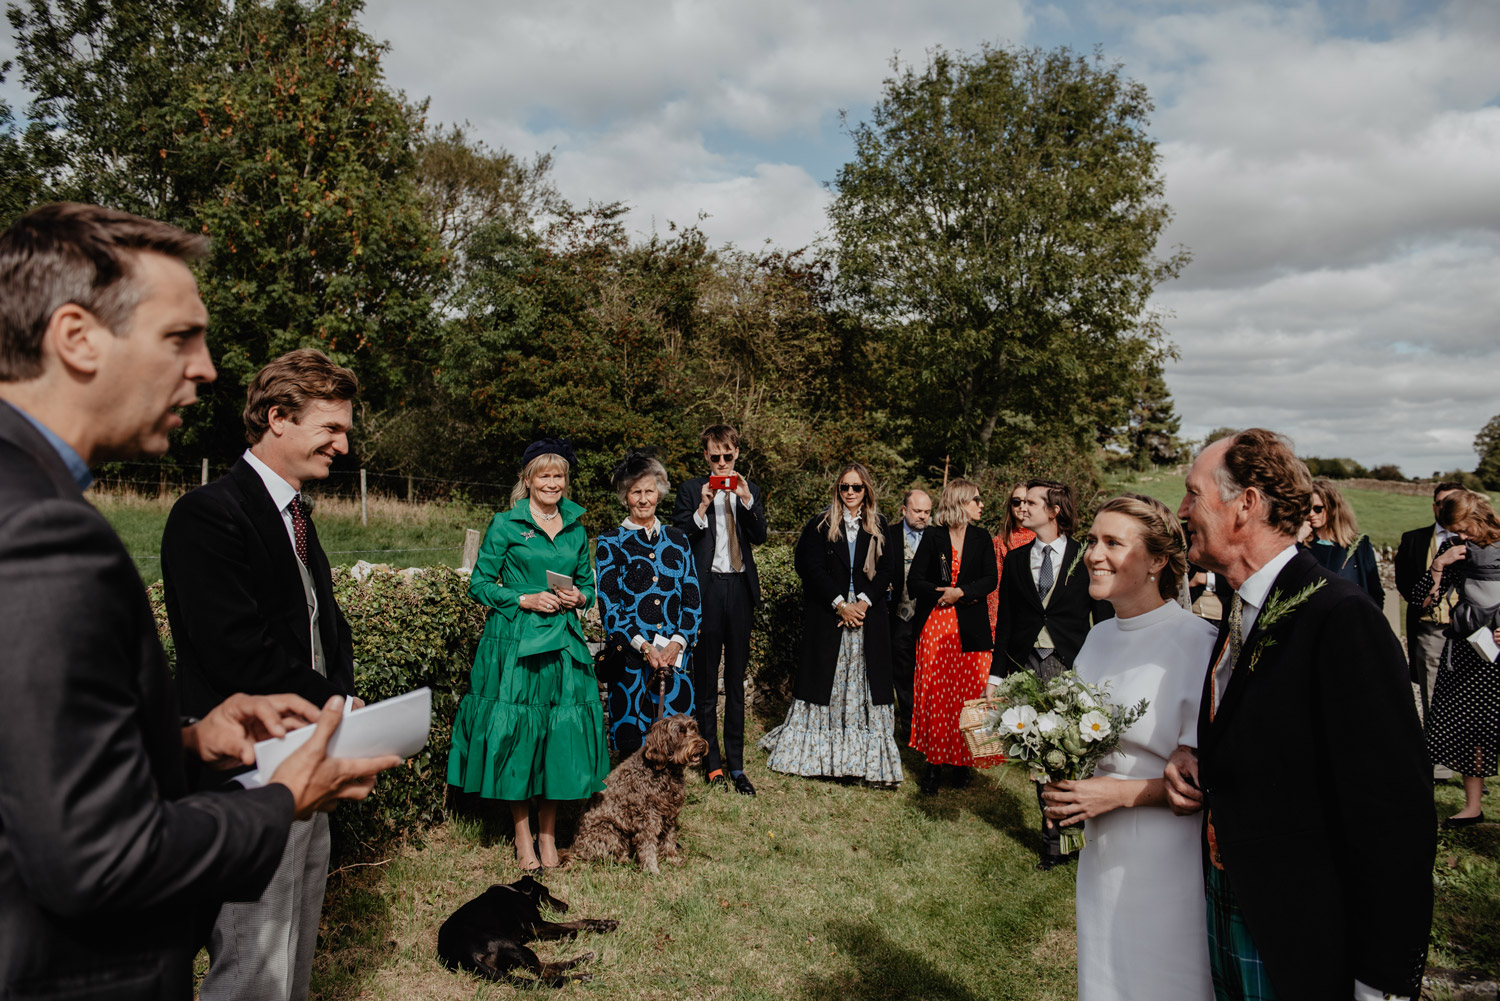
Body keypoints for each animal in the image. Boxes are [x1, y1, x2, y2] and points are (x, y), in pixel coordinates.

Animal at [438, 876, 618, 984]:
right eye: (545, 892)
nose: (565, 906)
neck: (516, 891)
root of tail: (467, 957)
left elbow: (577, 923)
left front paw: (605, 924)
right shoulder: (536, 926)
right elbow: (573, 927)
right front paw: (567, 938)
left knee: (550, 969)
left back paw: (584, 960)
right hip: (513, 945)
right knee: (546, 974)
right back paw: (581, 975)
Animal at [573, 717, 714, 870]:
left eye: (694, 729)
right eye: (680, 733)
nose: (702, 744)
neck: (665, 770)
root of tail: (576, 849)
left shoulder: (669, 813)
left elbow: (669, 839)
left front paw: (672, 859)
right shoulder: (647, 818)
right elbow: (648, 845)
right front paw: (651, 868)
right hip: (610, 829)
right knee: (607, 856)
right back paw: (626, 861)